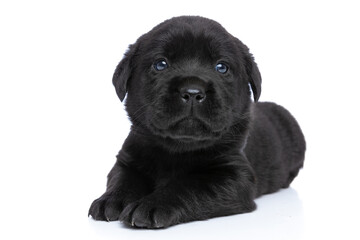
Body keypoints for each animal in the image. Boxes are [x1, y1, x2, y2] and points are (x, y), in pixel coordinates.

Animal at [88, 15, 306, 229]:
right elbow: (123, 179)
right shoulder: (128, 159)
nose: (192, 92)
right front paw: (111, 201)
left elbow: (189, 186)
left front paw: (150, 205)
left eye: (221, 67)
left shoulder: (234, 176)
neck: (179, 147)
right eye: (161, 64)